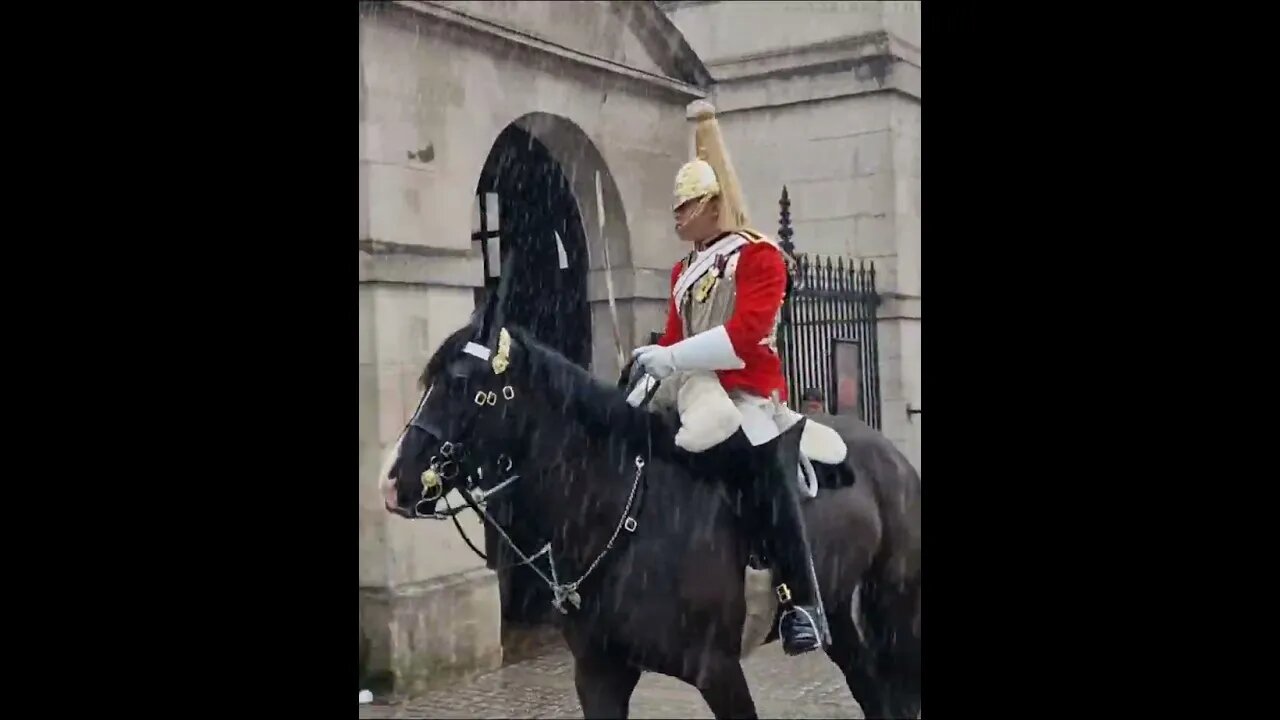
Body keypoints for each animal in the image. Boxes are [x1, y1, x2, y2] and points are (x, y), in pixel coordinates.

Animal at [378, 316, 921, 712]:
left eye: (464, 386)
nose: (390, 482)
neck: (622, 512)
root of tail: (889, 452)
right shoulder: (599, 674)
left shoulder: (718, 671)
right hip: (839, 608)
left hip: (894, 602)